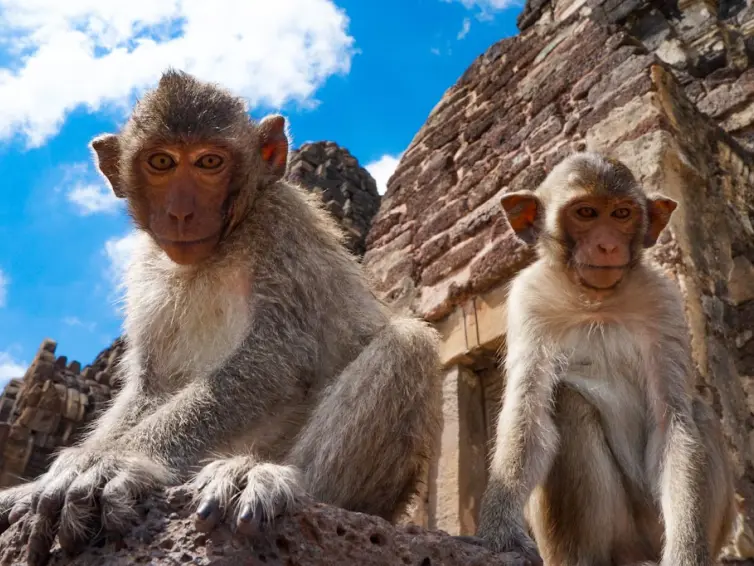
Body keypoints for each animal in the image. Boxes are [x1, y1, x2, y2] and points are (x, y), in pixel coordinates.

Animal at [0, 69, 442, 566]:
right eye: (161, 162)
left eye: (209, 162)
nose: (180, 212)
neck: (220, 247)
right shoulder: (148, 269)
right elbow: (151, 384)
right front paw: (43, 482)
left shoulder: (281, 228)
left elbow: (274, 361)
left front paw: (114, 463)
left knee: (408, 345)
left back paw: (272, 481)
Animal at [471, 152, 735, 566]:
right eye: (586, 212)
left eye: (622, 214)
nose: (608, 245)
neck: (596, 301)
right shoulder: (530, 299)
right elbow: (528, 412)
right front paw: (500, 531)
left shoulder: (663, 300)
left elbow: (672, 420)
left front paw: (687, 552)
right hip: (622, 534)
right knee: (567, 402)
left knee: (698, 410)